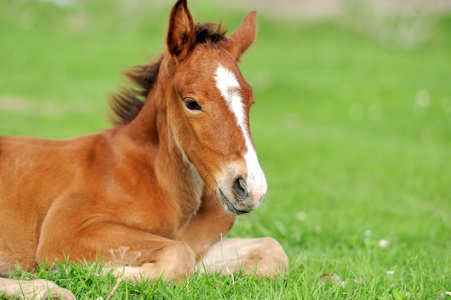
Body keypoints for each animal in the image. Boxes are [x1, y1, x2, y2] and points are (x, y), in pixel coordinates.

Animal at [0, 1, 288, 298]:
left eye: (251, 101)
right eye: (191, 103)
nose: (251, 189)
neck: (161, 181)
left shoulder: (202, 242)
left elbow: (273, 251)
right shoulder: (65, 230)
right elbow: (179, 255)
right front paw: (92, 274)